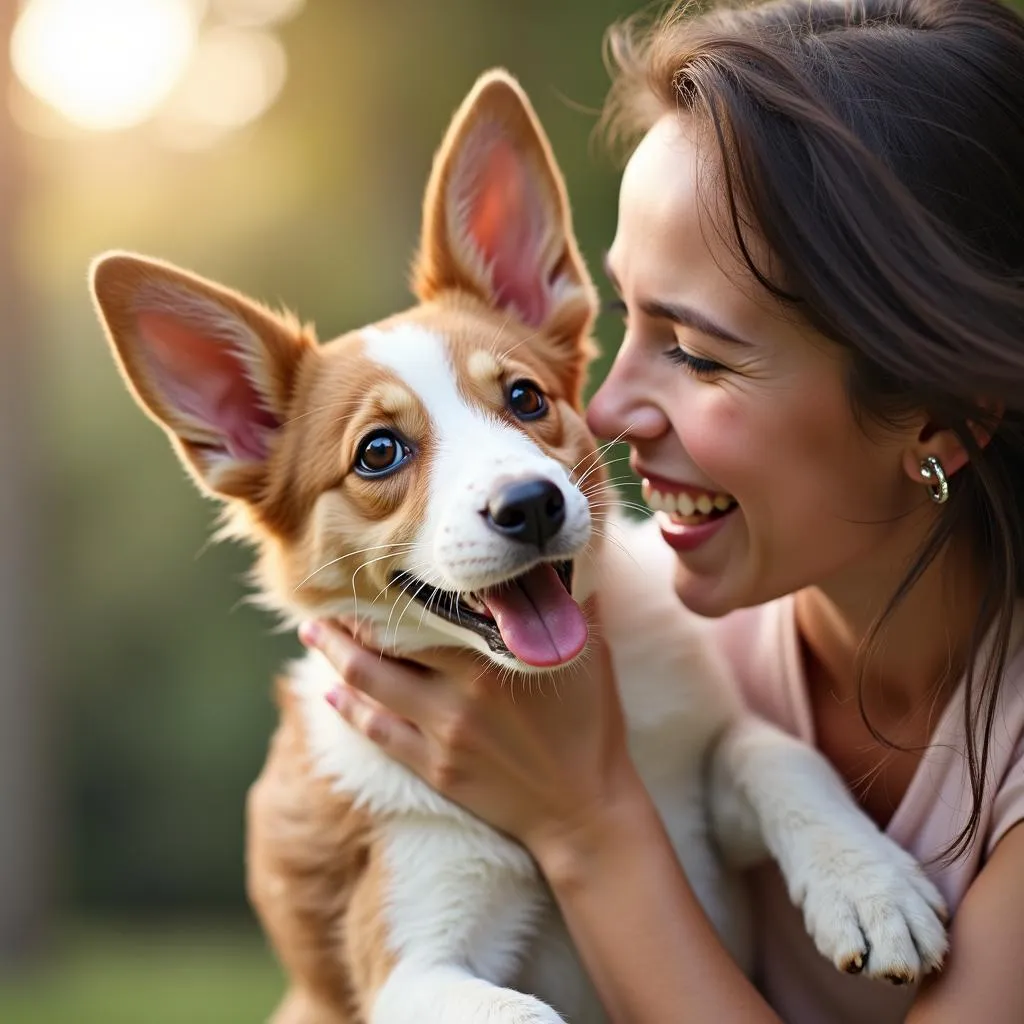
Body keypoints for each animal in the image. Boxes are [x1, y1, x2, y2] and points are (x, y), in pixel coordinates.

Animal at [88, 72, 942, 1024]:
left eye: (527, 398)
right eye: (377, 452)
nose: (530, 506)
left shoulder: (690, 794)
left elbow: (769, 749)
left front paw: (870, 884)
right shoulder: (413, 963)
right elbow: (524, 1011)